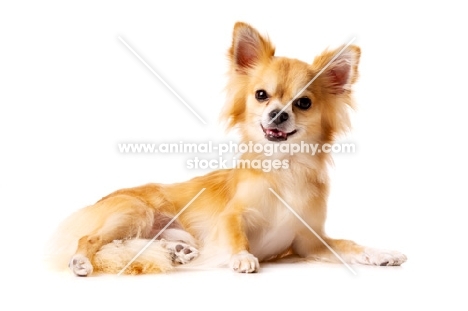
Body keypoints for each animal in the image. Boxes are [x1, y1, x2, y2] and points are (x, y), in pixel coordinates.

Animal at [46, 22, 406, 276]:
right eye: (261, 95)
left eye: (303, 103)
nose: (278, 113)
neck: (283, 167)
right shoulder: (231, 216)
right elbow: (235, 232)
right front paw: (242, 256)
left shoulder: (309, 243)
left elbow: (349, 244)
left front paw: (381, 253)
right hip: (135, 211)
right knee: (90, 239)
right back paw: (81, 261)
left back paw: (178, 253)